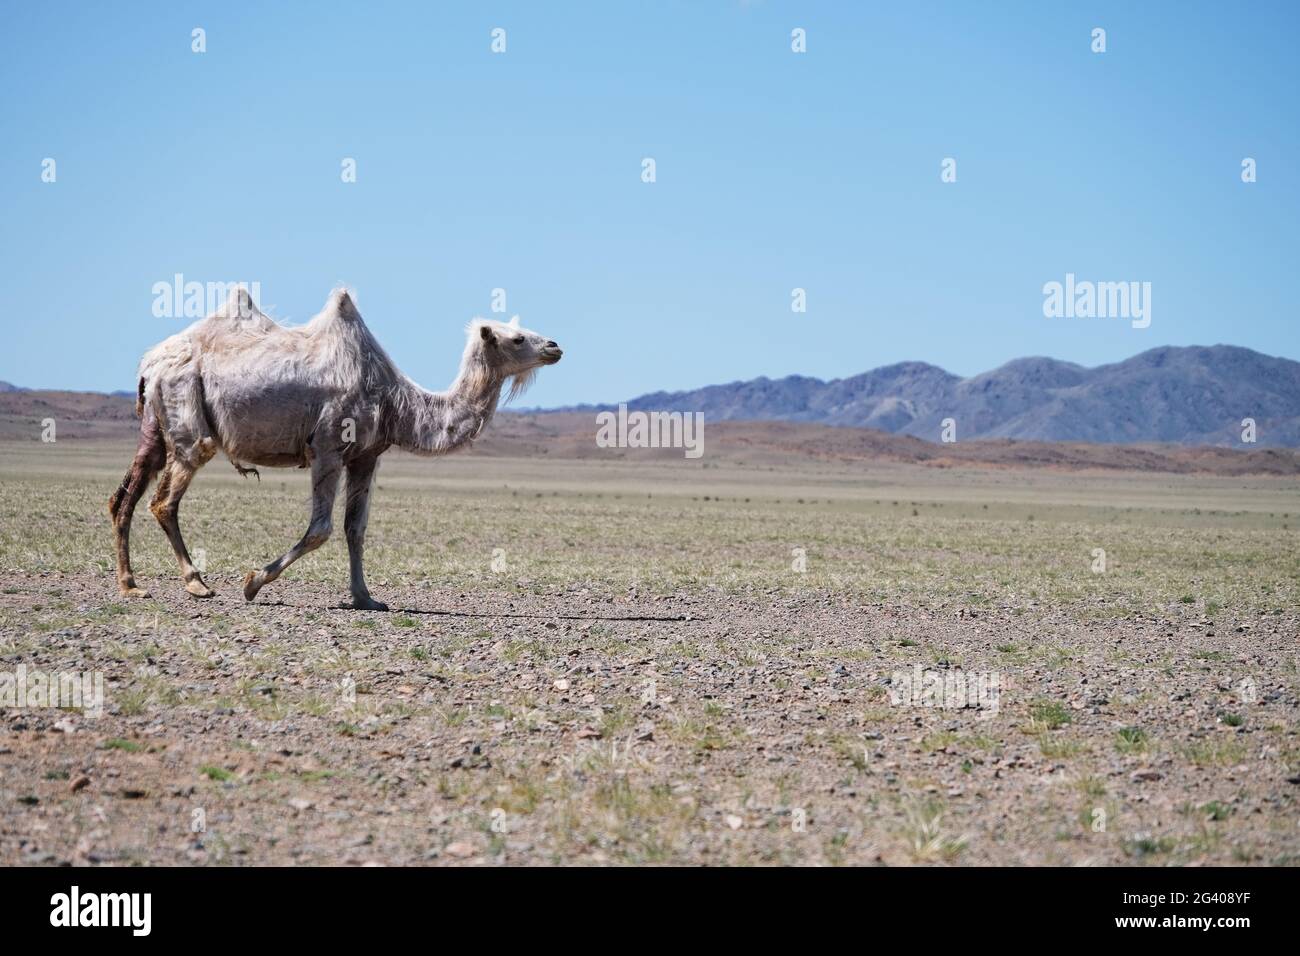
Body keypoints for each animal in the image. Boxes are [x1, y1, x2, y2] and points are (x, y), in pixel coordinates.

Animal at [104, 286, 561, 613]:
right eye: (518, 337)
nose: (555, 346)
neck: (395, 400)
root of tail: (150, 364)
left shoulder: (366, 455)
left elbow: (354, 529)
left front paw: (365, 597)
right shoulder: (327, 447)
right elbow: (320, 528)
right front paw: (253, 583)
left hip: (156, 423)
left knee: (124, 496)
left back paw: (130, 585)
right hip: (187, 414)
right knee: (165, 499)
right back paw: (196, 584)